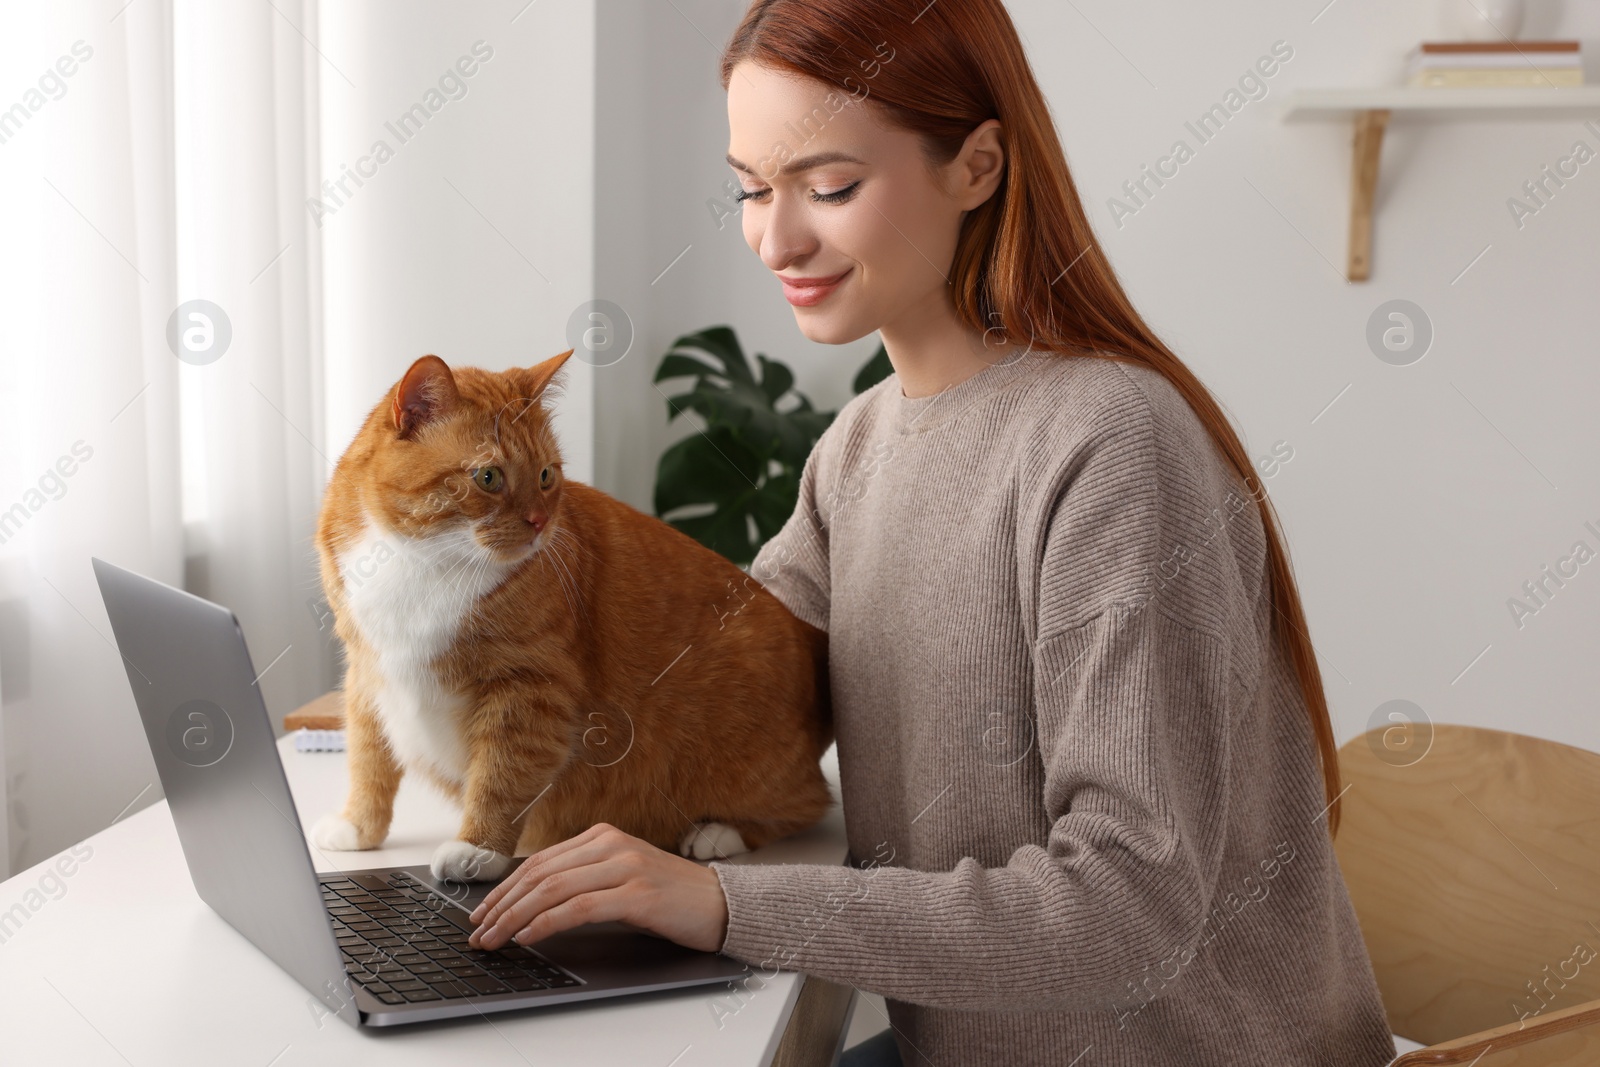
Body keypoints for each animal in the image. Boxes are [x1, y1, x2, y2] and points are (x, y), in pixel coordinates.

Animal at [310, 350, 838, 883]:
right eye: (488, 477)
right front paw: (358, 828)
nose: (541, 522)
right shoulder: (367, 675)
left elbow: (500, 776)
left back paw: (716, 833)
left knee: (809, 805)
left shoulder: (529, 690)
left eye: (546, 475)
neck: (422, 560)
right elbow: (368, 761)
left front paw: (478, 850)